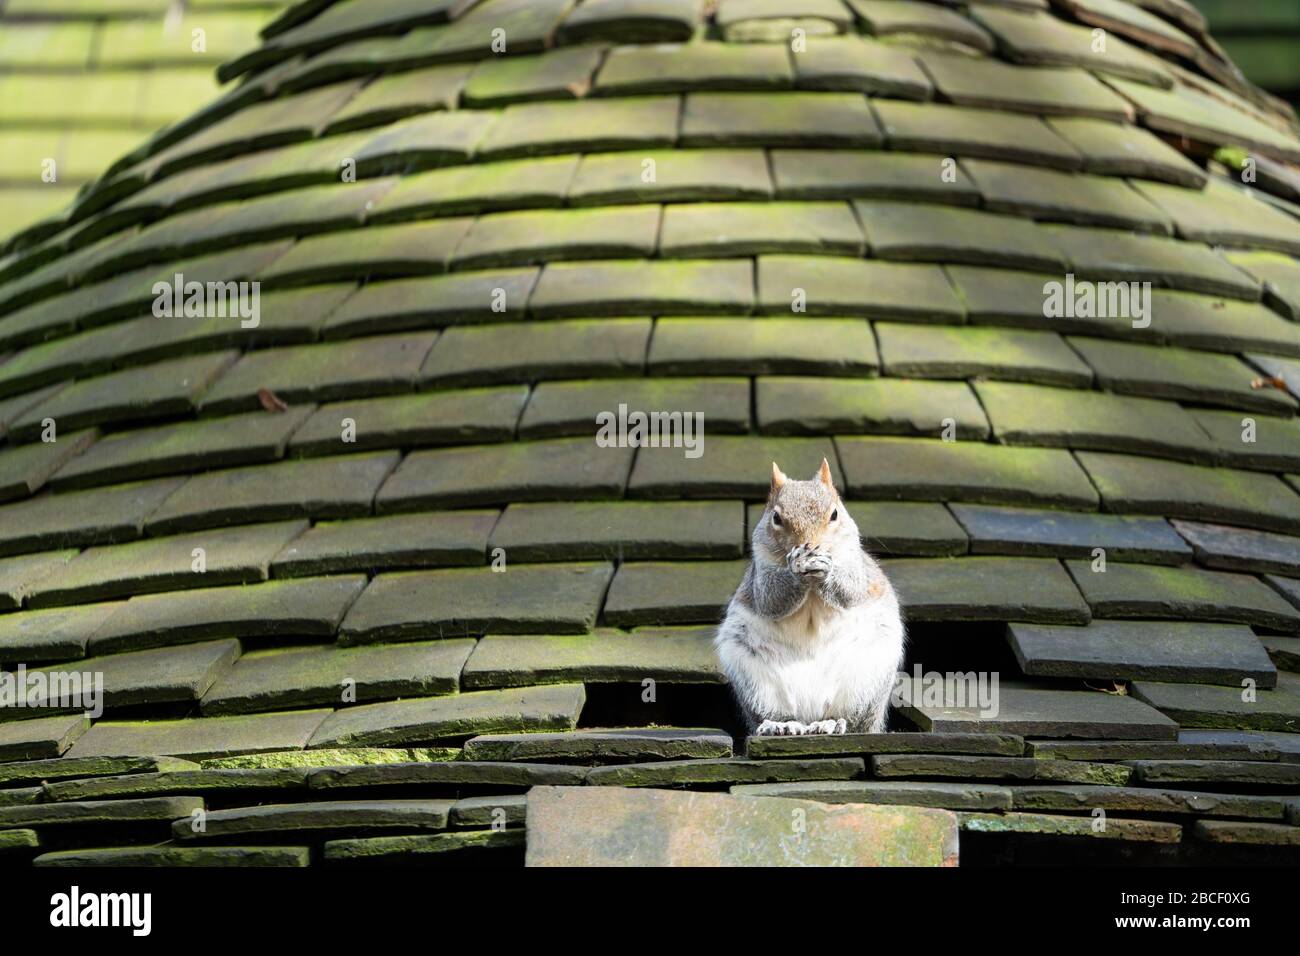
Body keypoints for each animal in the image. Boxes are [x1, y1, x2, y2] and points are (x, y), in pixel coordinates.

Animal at [712, 460, 904, 738]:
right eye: (776, 518)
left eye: (834, 514)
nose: (809, 545)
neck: (812, 587)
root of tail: (811, 713)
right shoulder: (760, 574)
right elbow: (770, 599)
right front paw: (796, 567)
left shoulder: (857, 567)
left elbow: (851, 589)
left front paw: (826, 569)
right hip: (754, 679)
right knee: (779, 714)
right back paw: (782, 725)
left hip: (867, 679)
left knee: (852, 721)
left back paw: (831, 723)